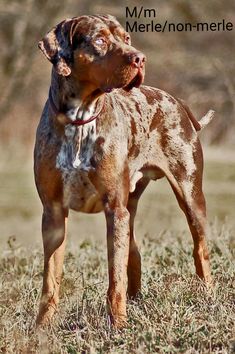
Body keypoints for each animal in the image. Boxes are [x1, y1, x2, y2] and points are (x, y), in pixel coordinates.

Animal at [34, 14, 215, 330]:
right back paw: (136, 300)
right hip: (130, 207)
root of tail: (178, 102)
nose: (140, 58)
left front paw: (118, 326)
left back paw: (208, 296)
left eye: (127, 38)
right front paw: (41, 327)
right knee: (134, 253)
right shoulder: (53, 212)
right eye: (100, 40)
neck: (80, 121)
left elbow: (114, 278)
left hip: (189, 194)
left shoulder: (114, 208)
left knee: (200, 249)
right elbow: (50, 280)